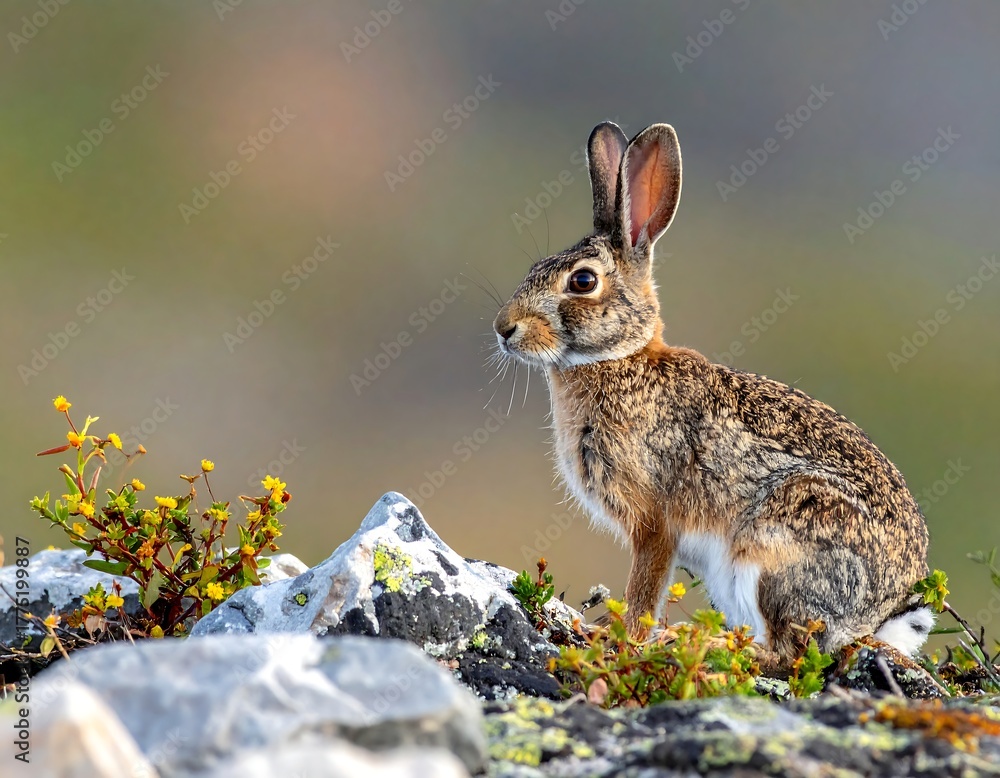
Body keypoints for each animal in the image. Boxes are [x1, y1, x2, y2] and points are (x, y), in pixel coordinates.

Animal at [493, 121, 932, 663]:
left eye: (583, 281)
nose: (504, 329)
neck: (618, 358)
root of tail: (890, 611)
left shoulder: (655, 522)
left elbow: (644, 589)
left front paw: (621, 640)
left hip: (773, 549)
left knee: (787, 653)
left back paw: (698, 639)